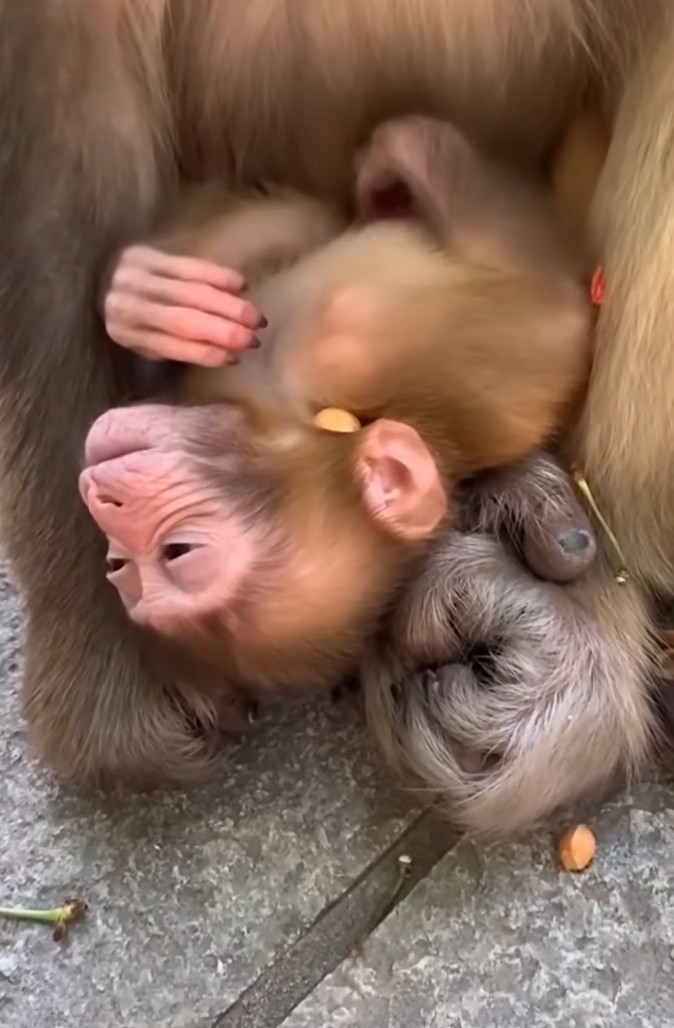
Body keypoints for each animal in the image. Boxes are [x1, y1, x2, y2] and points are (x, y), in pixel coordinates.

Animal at [78, 116, 594, 696]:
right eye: (122, 567)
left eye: (178, 553)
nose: (105, 503)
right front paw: (146, 304)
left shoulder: (356, 337)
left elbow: (556, 311)